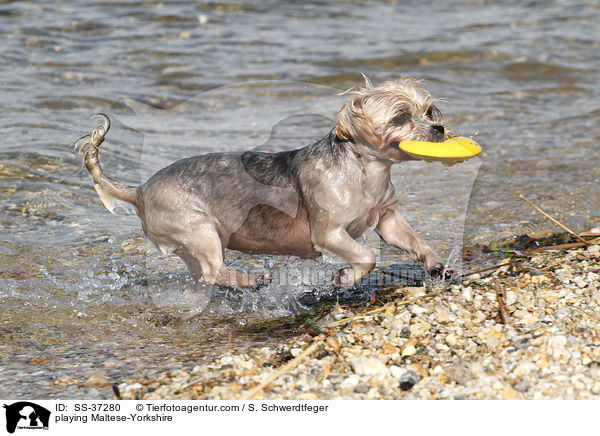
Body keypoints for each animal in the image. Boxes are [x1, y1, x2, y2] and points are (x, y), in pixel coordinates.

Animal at [75, 77, 448, 290]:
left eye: (430, 112)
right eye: (400, 117)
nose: (439, 129)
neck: (363, 169)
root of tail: (139, 191)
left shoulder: (387, 220)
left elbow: (414, 240)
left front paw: (434, 263)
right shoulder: (328, 234)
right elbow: (367, 256)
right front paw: (345, 278)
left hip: (190, 242)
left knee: (203, 274)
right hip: (200, 229)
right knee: (214, 269)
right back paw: (252, 280)